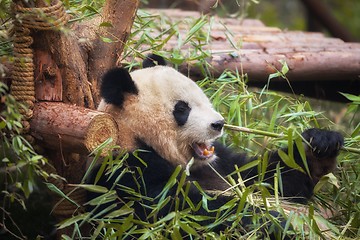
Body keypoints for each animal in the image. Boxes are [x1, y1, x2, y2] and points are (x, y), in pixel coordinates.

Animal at [87, 54, 344, 238]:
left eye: (204, 99)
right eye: (182, 109)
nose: (218, 124)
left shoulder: (222, 163)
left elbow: (268, 178)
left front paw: (320, 143)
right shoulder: (129, 170)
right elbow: (186, 212)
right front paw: (273, 222)